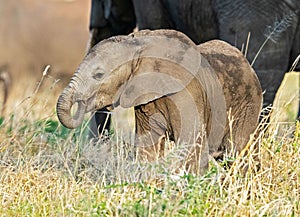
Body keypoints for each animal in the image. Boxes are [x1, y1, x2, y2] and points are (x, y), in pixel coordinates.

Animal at [56, 29, 262, 175]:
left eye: (98, 75)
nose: (81, 104)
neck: (138, 45)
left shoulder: (187, 93)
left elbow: (191, 145)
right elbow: (149, 147)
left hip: (247, 103)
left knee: (237, 152)